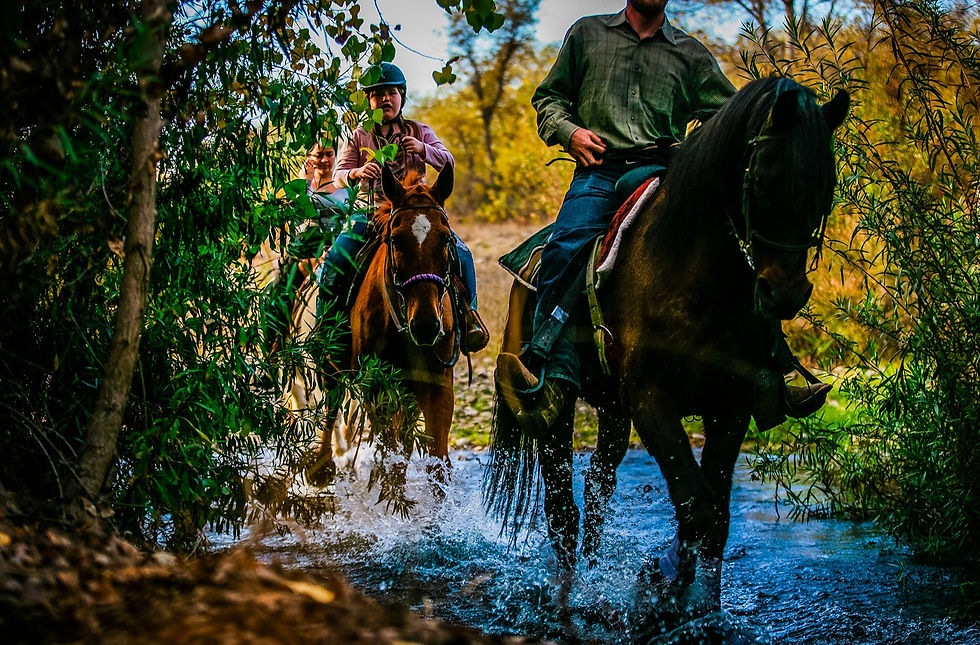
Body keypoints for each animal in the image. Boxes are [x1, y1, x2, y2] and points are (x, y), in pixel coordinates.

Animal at [306, 164, 464, 486]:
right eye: (396, 240)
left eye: (446, 239)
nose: (426, 325)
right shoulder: (377, 387)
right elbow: (390, 456)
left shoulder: (438, 386)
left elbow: (437, 463)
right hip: (334, 362)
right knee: (332, 400)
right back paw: (321, 467)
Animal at [484, 78, 848, 612]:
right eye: (765, 180)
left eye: (826, 187)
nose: (784, 294)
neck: (693, 275)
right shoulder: (651, 401)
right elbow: (696, 505)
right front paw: (663, 587)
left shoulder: (730, 406)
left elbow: (714, 515)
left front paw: (698, 601)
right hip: (557, 410)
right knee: (561, 505)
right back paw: (567, 591)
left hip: (612, 409)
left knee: (598, 485)